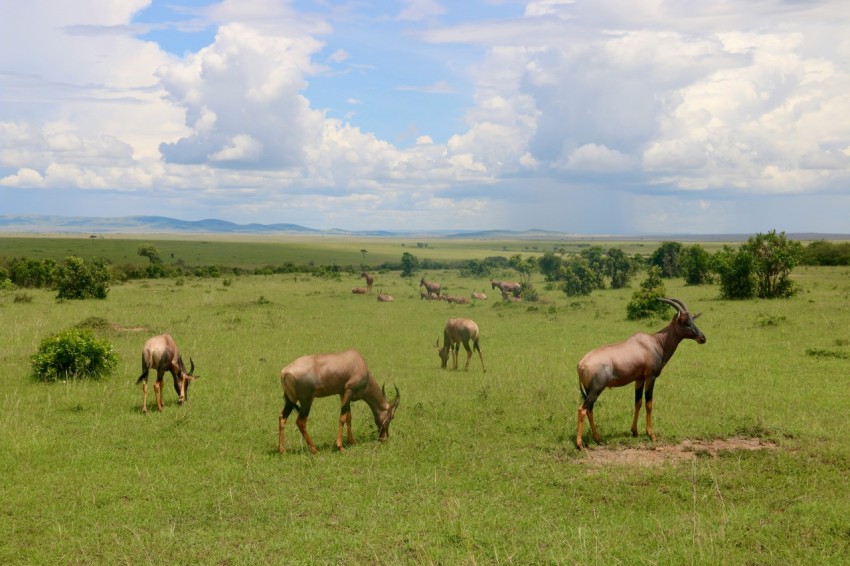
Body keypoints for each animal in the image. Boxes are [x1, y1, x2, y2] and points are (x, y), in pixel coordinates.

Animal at [572, 300, 704, 450]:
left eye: (693, 320)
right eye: (684, 321)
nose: (702, 338)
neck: (655, 342)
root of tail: (581, 364)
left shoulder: (639, 379)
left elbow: (638, 403)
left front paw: (634, 431)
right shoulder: (650, 377)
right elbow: (649, 403)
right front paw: (651, 435)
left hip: (589, 390)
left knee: (590, 409)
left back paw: (598, 439)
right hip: (596, 389)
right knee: (582, 409)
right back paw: (580, 444)